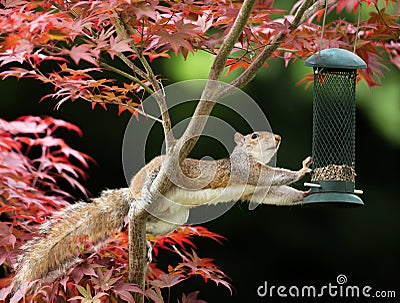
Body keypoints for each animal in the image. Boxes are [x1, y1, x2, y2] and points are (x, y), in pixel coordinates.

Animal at [13, 132, 312, 288]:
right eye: (254, 136)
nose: (278, 137)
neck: (248, 157)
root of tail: (131, 193)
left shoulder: (255, 189)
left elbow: (275, 194)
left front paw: (305, 194)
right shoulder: (245, 171)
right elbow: (274, 176)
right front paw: (302, 170)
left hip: (175, 219)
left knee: (143, 227)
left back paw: (144, 243)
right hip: (156, 174)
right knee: (138, 200)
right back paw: (142, 196)